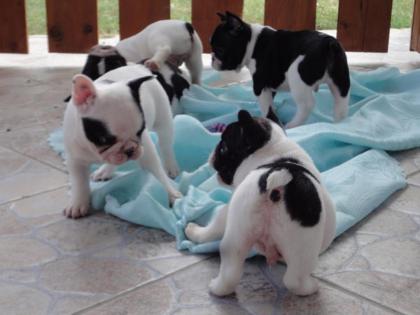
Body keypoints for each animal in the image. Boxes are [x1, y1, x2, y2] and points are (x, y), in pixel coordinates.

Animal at [63, 63, 181, 220]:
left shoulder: (146, 150)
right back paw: (104, 171)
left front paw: (171, 193)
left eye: (140, 131)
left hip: (163, 118)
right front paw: (78, 203)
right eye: (105, 139)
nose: (130, 150)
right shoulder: (75, 159)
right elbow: (79, 182)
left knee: (166, 145)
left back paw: (171, 167)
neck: (93, 149)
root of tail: (138, 66)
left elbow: (157, 172)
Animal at [185, 110, 336, 296]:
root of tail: (278, 176)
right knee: (294, 279)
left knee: (232, 270)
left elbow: (216, 223)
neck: (273, 151)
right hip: (301, 243)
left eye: (224, 147)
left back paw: (217, 288)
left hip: (241, 233)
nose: (214, 151)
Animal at [210, 12, 352, 128]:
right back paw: (339, 124)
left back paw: (292, 125)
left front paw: (271, 122)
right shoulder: (269, 86)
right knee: (341, 103)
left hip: (297, 78)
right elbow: (271, 105)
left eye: (220, 50)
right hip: (340, 81)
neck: (252, 43)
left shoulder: (260, 85)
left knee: (307, 105)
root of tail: (328, 44)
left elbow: (266, 107)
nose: (212, 59)